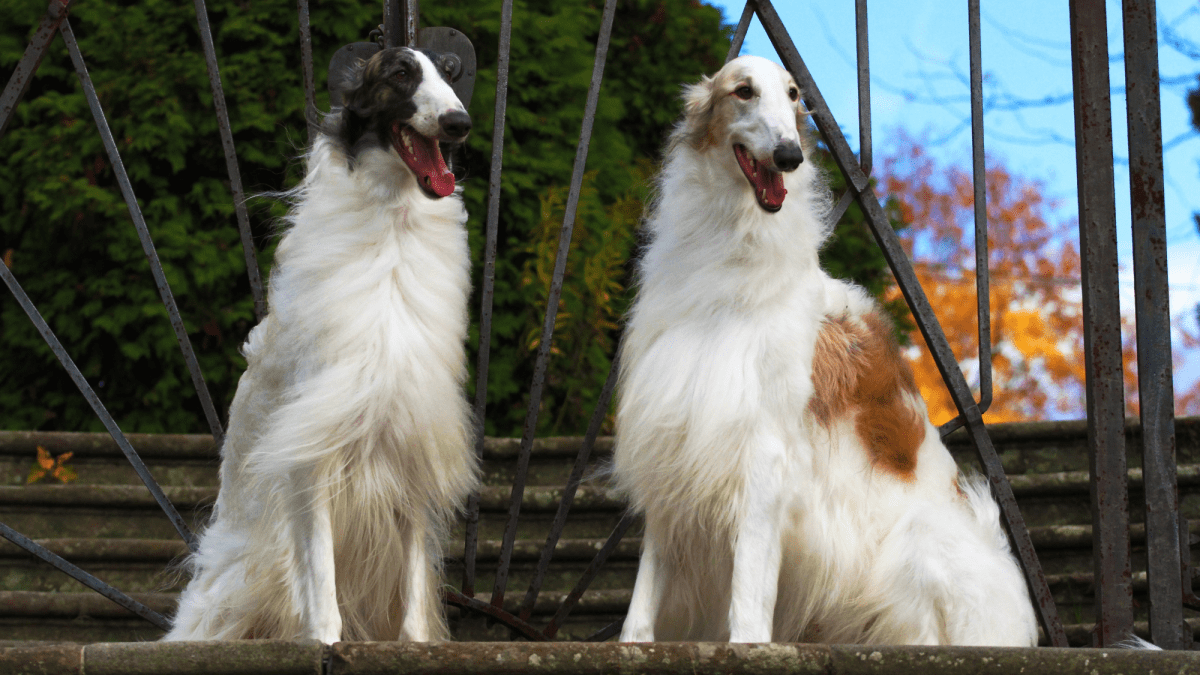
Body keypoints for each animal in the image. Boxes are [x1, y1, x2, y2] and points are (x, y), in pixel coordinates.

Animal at [165, 47, 482, 638]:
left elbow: (413, 601)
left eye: (448, 74)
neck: (393, 228)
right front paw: (325, 642)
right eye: (400, 73)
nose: (460, 123)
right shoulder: (312, 451)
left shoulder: (410, 441)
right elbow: (322, 589)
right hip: (234, 583)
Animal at [614, 55, 1036, 643]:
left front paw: (747, 646)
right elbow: (647, 585)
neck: (731, 263)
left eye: (794, 94)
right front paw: (632, 643)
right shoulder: (674, 433)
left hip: (920, 545)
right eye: (743, 91)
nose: (789, 155)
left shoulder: (764, 455)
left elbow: (749, 590)